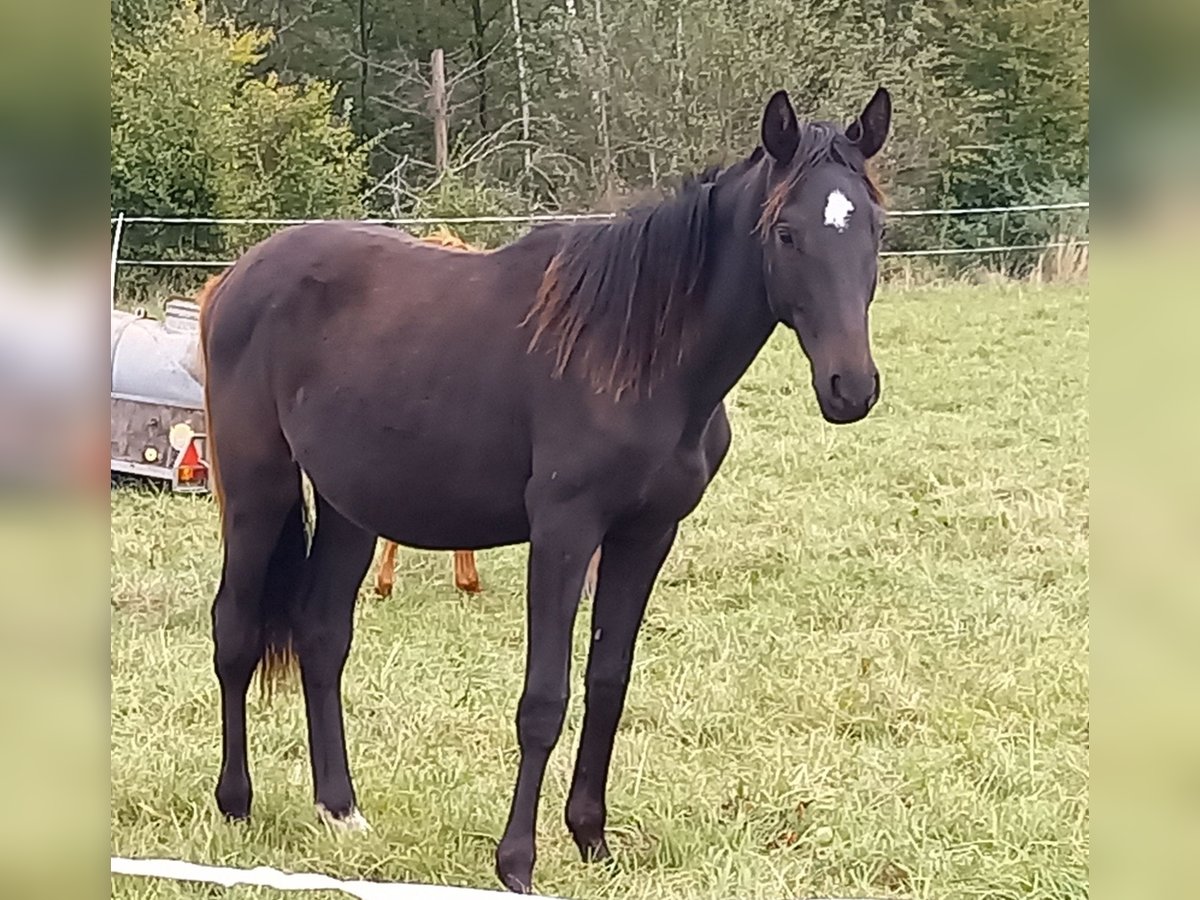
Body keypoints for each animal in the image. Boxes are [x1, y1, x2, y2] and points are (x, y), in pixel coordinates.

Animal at [196, 86, 892, 897]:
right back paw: (235, 804)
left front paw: (592, 838)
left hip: (350, 509)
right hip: (259, 489)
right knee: (235, 630)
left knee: (320, 634)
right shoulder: (564, 531)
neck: (638, 354)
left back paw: (340, 810)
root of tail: (236, 278)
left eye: (875, 228)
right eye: (786, 232)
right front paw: (517, 862)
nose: (851, 388)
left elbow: (608, 681)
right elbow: (544, 699)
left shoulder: (646, 535)